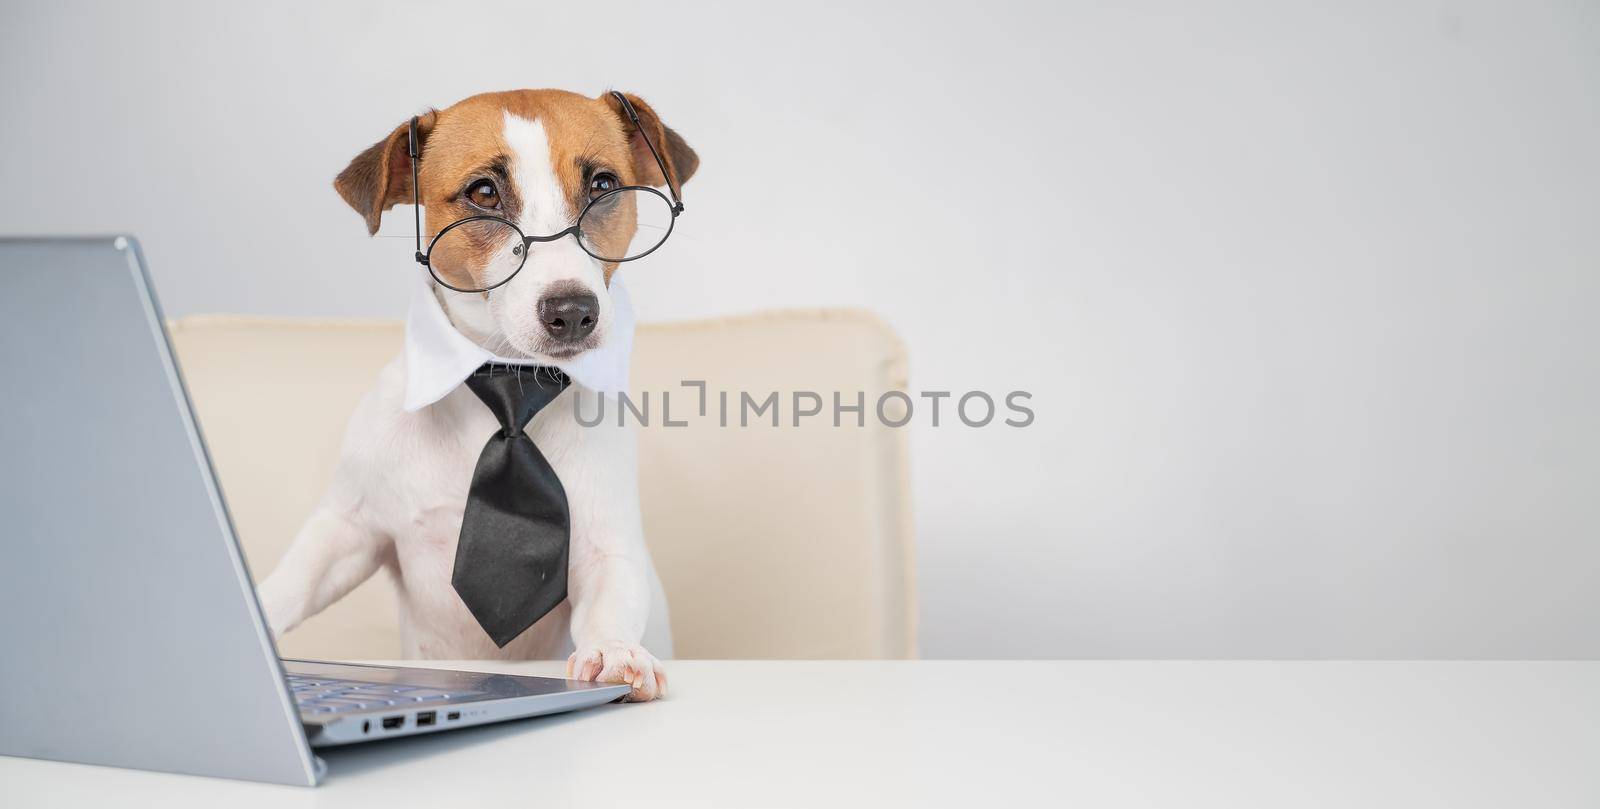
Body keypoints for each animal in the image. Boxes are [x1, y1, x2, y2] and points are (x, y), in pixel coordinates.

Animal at [256, 89, 694, 700]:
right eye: (483, 193)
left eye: (605, 186)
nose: (573, 312)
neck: (509, 378)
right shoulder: (349, 528)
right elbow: (295, 582)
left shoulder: (607, 545)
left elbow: (611, 596)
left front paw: (614, 651)